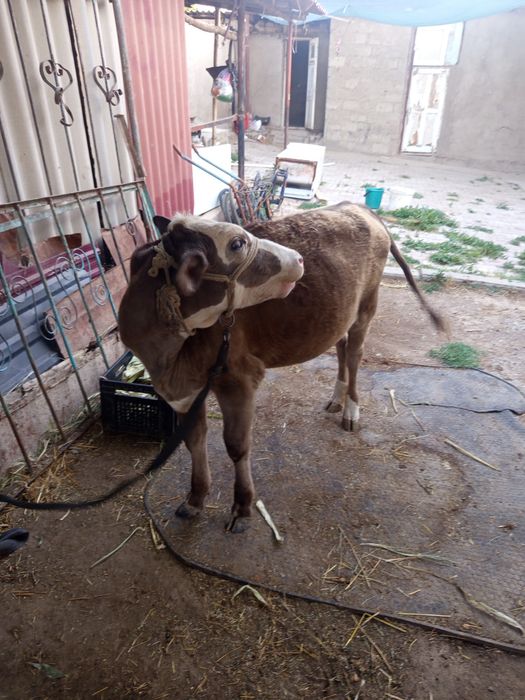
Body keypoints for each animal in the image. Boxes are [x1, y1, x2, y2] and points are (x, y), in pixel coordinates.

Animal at [119, 203, 444, 533]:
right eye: (237, 243)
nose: (298, 258)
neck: (169, 362)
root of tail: (357, 207)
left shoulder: (239, 379)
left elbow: (236, 446)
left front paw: (243, 508)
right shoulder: (184, 393)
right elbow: (193, 440)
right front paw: (195, 499)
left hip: (367, 304)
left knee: (355, 353)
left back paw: (351, 409)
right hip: (340, 311)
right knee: (341, 347)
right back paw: (336, 399)